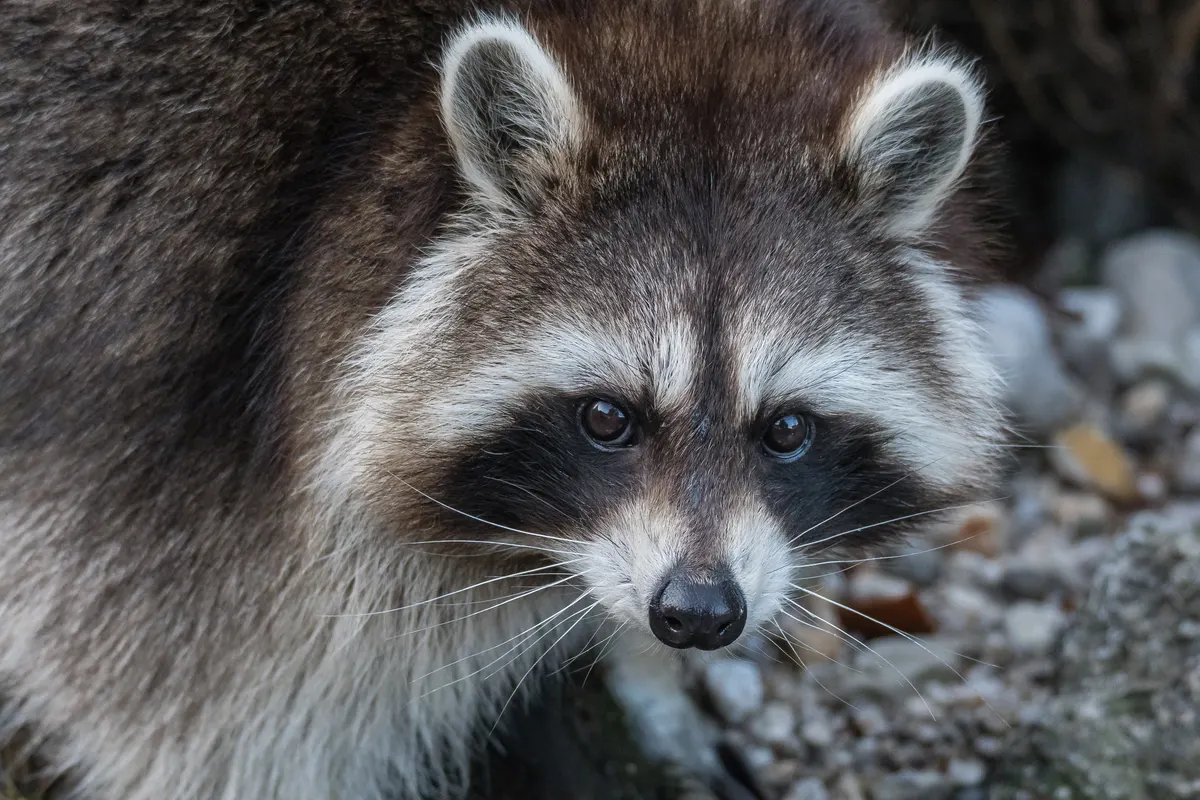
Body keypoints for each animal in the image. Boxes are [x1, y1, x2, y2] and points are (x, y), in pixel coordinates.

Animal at [0, 1, 1006, 798]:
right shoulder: (171, 393)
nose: (696, 614)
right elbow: (202, 712)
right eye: (607, 418)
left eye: (787, 429)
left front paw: (643, 676)